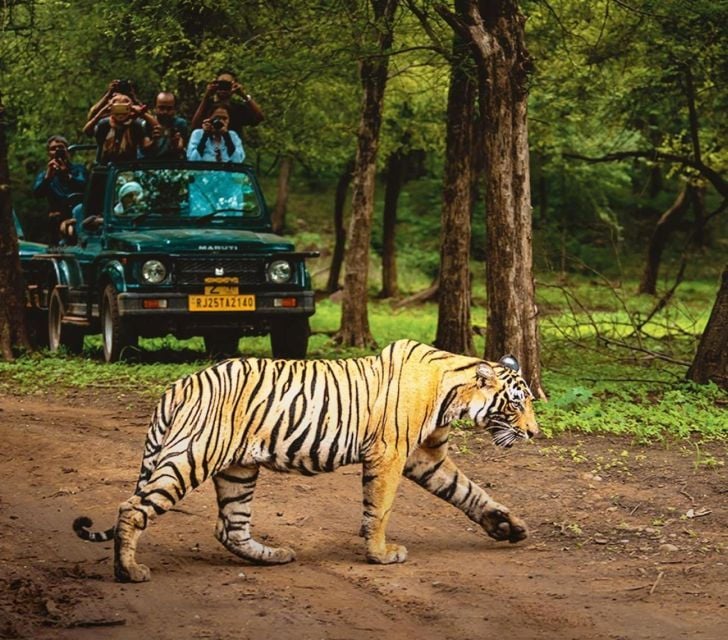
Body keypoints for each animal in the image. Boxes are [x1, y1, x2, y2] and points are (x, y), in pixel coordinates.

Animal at [73, 339, 539, 582]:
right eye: (517, 404)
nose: (534, 433)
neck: (453, 395)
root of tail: (179, 384)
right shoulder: (390, 455)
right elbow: (381, 509)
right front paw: (380, 555)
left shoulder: (424, 457)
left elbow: (470, 492)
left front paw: (508, 527)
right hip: (192, 455)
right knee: (132, 507)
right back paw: (129, 571)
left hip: (238, 469)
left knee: (230, 527)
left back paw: (273, 556)